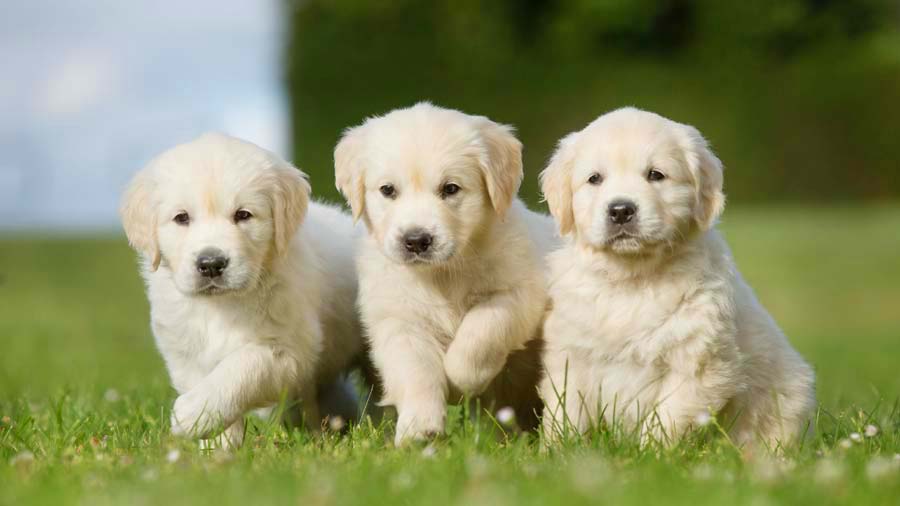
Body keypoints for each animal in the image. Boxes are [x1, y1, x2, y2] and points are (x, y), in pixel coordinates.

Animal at [121, 133, 364, 446]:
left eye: (243, 215)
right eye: (182, 218)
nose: (211, 264)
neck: (222, 305)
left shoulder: (289, 349)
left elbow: (242, 367)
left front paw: (192, 413)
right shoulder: (186, 351)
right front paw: (216, 444)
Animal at [336, 104, 556, 446]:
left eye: (450, 188)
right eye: (388, 190)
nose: (415, 240)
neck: (441, 275)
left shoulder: (520, 292)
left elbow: (483, 329)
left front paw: (457, 379)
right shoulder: (398, 320)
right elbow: (415, 371)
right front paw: (419, 428)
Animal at [540, 107, 816, 446]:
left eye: (656, 175)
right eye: (595, 179)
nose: (620, 210)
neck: (632, 278)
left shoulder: (698, 365)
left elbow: (666, 419)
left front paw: (649, 454)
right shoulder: (571, 354)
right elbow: (565, 412)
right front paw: (557, 450)